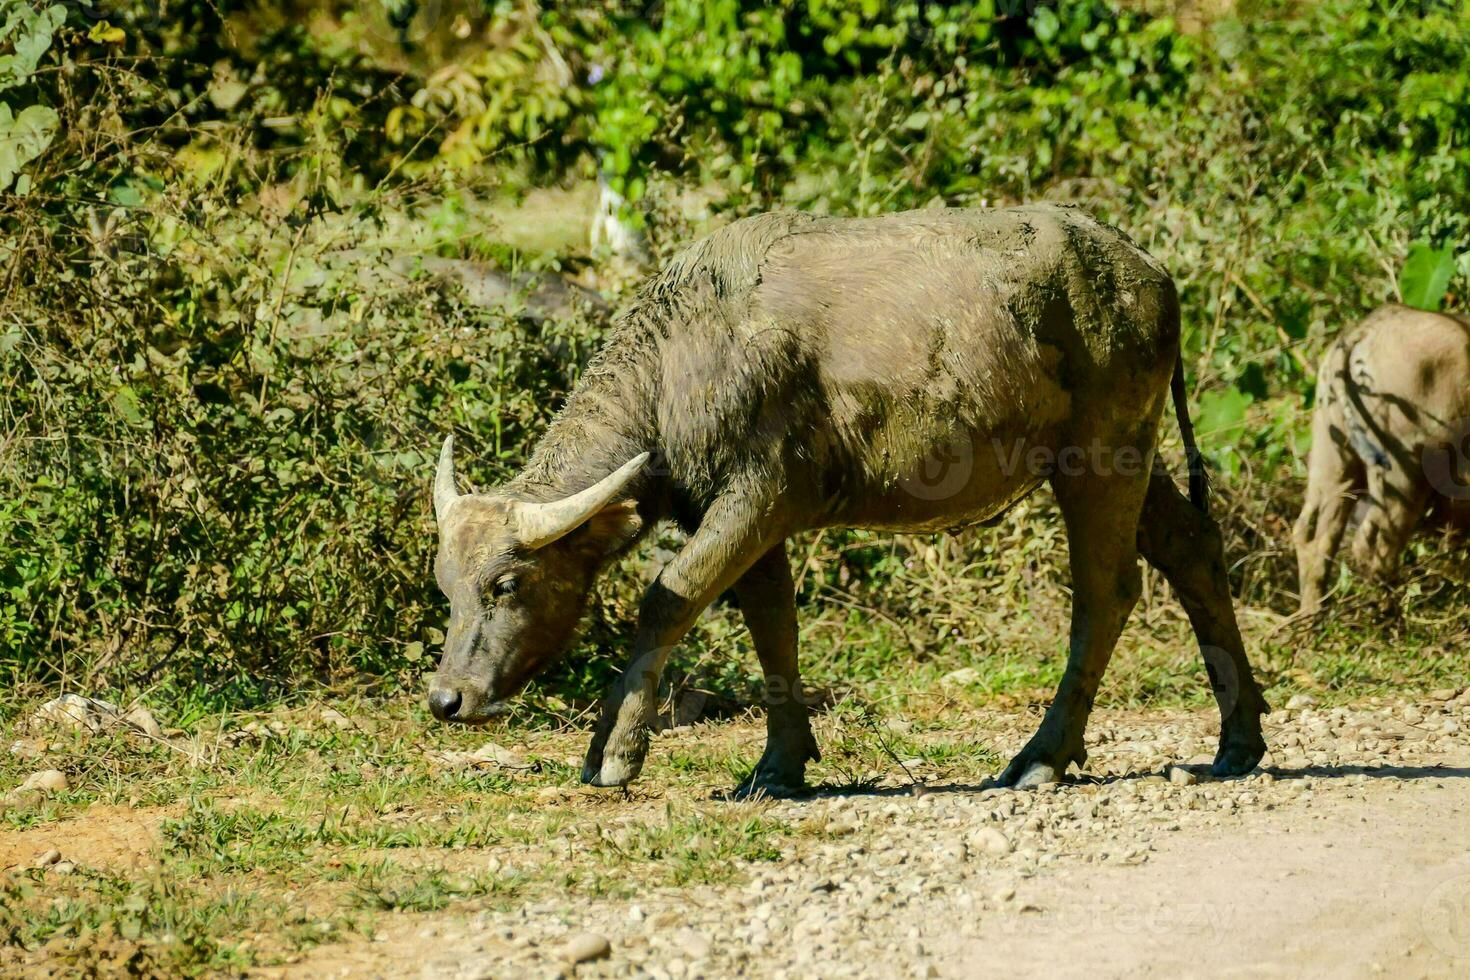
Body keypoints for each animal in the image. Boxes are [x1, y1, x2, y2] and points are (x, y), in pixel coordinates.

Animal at [429, 202, 1275, 793]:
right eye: (448, 589)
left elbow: (671, 595)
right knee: (1193, 552)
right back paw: (1237, 742)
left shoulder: (760, 493)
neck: (683, 358)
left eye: (508, 584)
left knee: (1106, 588)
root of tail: (1150, 272)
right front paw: (779, 765)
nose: (447, 701)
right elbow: (771, 623)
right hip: (1133, 454)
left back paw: (1042, 757)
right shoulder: (746, 516)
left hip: (1098, 455)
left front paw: (616, 750)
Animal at [1293, 307, 1464, 614]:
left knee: (1313, 535)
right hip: (1404, 469)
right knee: (1375, 546)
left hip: (1332, 458)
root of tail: (1362, 332)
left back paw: (1312, 616)